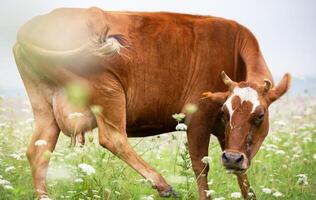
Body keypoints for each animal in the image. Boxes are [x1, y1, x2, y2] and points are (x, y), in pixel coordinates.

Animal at [13, 7, 290, 199]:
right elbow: (201, 168)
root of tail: (32, 25)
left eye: (259, 116)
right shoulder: (198, 118)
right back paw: (163, 184)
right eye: (225, 111)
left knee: (38, 150)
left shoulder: (228, 137)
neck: (234, 48)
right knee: (113, 137)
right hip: (108, 90)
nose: (232, 159)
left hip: (45, 108)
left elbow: (245, 181)